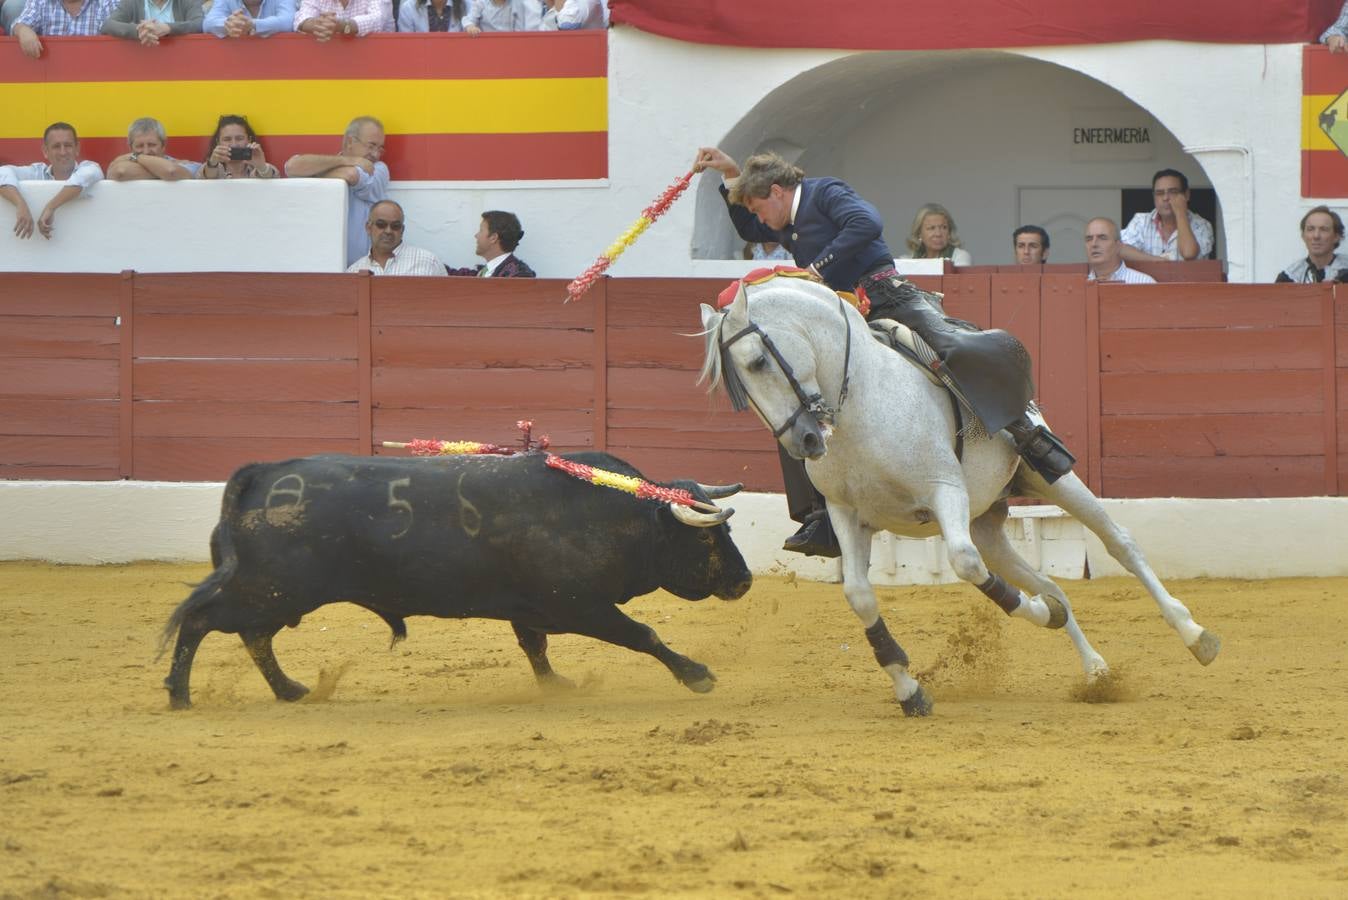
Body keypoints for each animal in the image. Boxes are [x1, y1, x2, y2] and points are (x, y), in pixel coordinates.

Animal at [159, 452, 754, 705]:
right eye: (707, 538)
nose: (744, 582)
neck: (610, 515)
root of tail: (263, 474)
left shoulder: (532, 607)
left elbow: (534, 647)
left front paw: (554, 685)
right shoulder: (579, 606)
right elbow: (642, 635)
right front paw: (697, 675)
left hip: (276, 595)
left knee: (251, 635)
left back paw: (290, 690)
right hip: (270, 589)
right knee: (202, 621)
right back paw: (180, 694)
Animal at [706, 276, 1223, 716]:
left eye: (758, 362)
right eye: (739, 389)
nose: (806, 442)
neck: (859, 407)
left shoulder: (944, 490)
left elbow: (964, 563)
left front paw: (1040, 614)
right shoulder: (846, 513)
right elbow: (859, 595)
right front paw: (910, 691)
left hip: (1049, 480)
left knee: (1120, 542)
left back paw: (1194, 634)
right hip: (988, 522)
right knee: (1049, 581)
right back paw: (1095, 669)